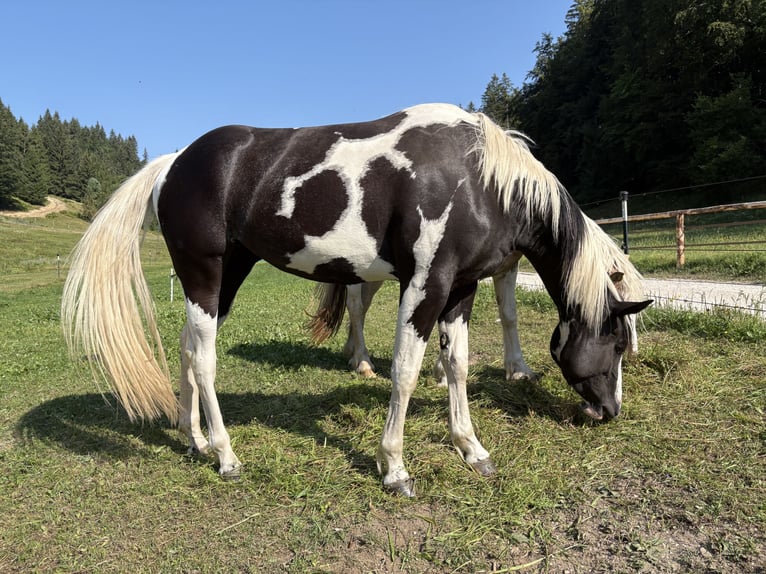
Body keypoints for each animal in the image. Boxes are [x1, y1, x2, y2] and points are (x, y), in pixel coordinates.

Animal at [62, 103, 651, 496]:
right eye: (617, 345)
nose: (609, 411)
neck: (478, 178)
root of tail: (173, 162)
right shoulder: (425, 286)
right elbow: (406, 373)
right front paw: (394, 467)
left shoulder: (460, 290)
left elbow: (457, 367)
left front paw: (470, 448)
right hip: (204, 274)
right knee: (204, 360)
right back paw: (226, 455)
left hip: (224, 278)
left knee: (187, 348)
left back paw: (194, 440)